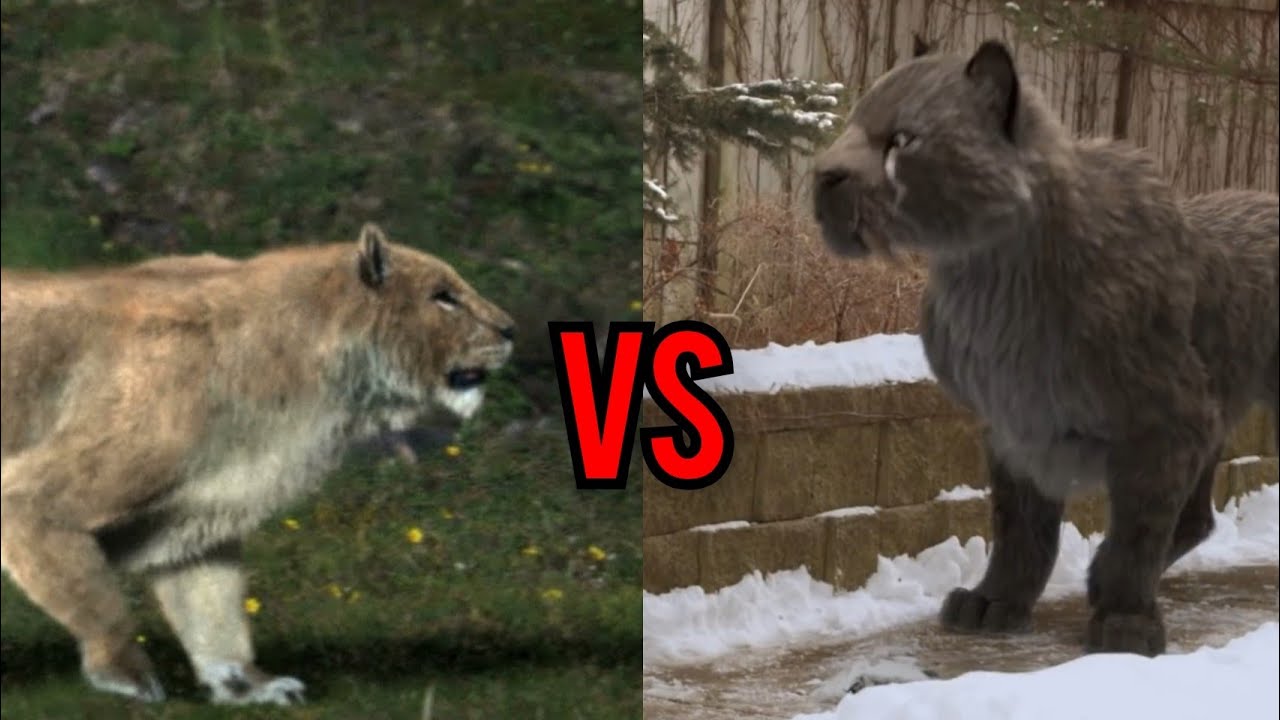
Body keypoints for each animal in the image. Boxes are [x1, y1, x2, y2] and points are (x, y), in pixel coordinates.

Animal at [0, 223, 516, 704]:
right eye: (443, 297)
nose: (510, 329)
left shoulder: (196, 517)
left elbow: (215, 612)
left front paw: (247, 686)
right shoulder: (31, 498)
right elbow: (98, 599)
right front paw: (128, 676)